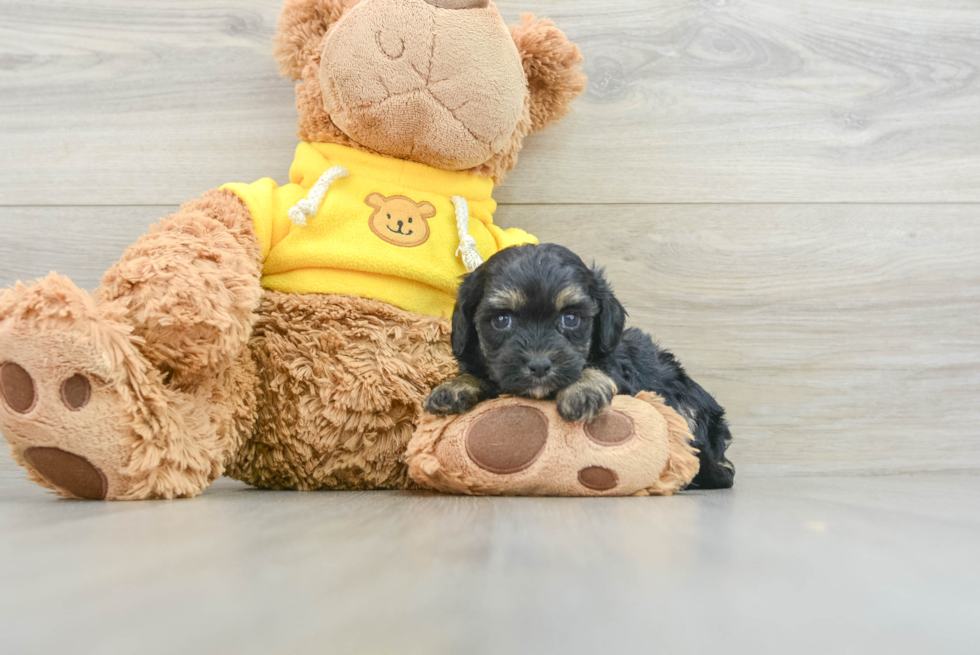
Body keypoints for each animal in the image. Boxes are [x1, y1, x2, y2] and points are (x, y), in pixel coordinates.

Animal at [424, 243, 736, 490]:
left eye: (571, 318)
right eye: (502, 320)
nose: (539, 365)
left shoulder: (619, 367)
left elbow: (596, 368)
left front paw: (582, 390)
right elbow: (480, 375)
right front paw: (453, 388)